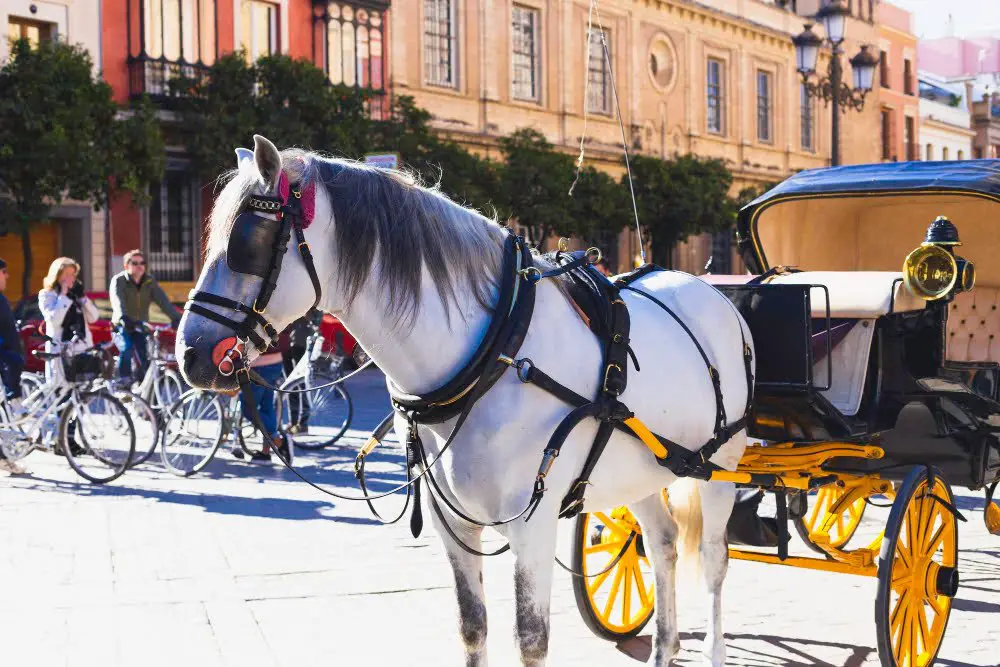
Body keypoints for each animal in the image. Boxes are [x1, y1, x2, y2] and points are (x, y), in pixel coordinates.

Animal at [176, 136, 752, 667]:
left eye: (246, 240)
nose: (190, 353)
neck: (499, 353)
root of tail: (713, 294)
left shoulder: (534, 524)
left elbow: (531, 640)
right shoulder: (450, 522)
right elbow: (473, 628)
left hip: (720, 465)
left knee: (715, 559)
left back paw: (715, 648)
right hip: (646, 470)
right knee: (663, 542)